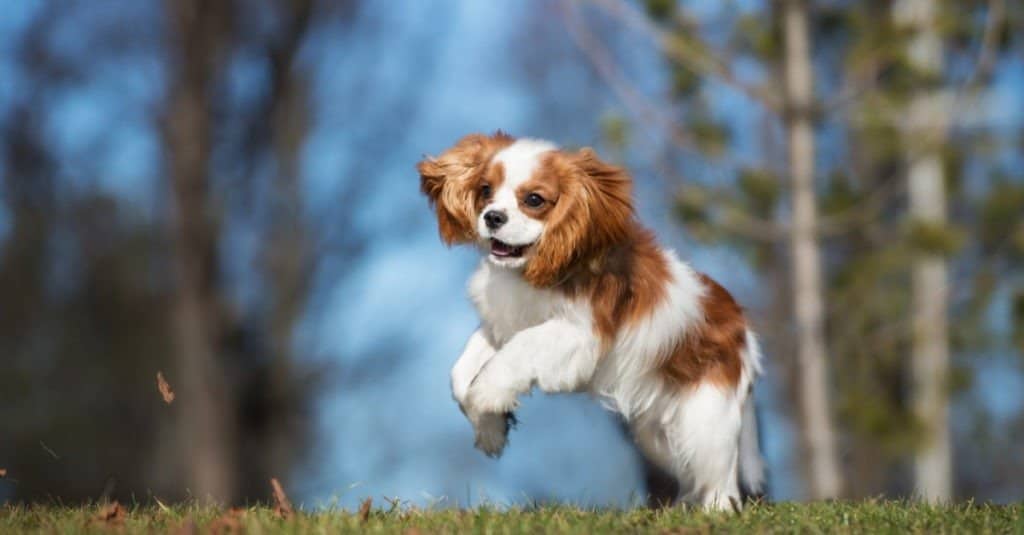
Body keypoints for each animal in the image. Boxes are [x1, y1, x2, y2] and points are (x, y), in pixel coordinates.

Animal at [415, 132, 761, 508]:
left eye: (534, 200)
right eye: (485, 190)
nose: (492, 217)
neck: (532, 271)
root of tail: (741, 327)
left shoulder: (576, 333)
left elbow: (515, 353)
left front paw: (488, 395)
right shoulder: (503, 323)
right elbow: (461, 373)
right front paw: (490, 428)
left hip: (704, 418)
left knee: (719, 479)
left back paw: (716, 511)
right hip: (657, 434)